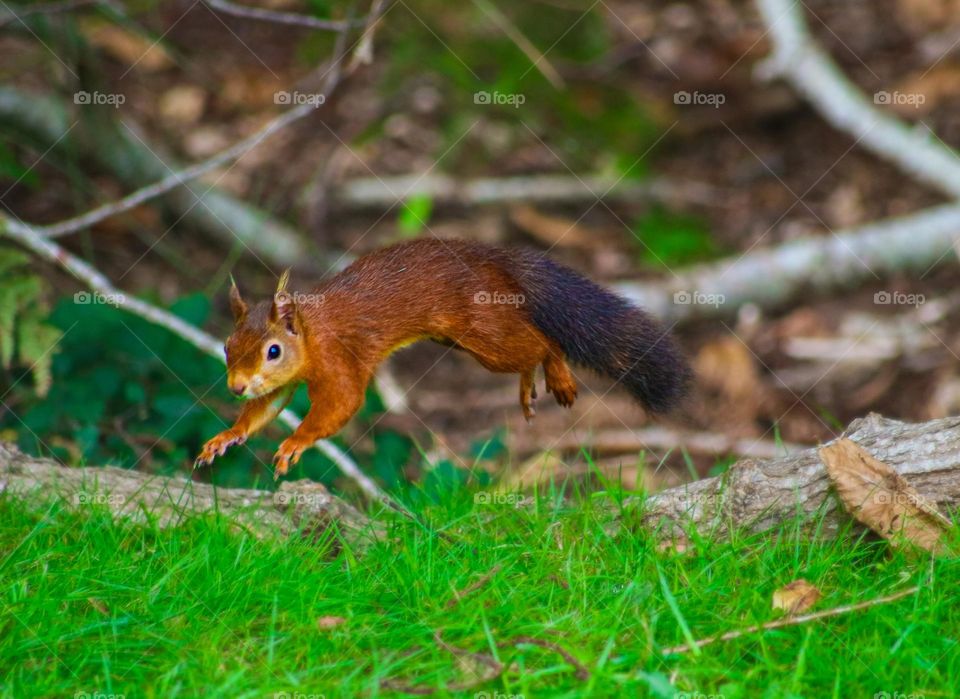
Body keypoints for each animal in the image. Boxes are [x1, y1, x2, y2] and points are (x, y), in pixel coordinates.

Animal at [195, 238, 690, 476]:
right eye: (226, 346)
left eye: (274, 350)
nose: (235, 386)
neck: (312, 334)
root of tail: (499, 262)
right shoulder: (284, 383)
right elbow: (267, 407)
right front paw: (226, 436)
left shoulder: (338, 360)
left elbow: (343, 403)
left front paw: (296, 442)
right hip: (468, 341)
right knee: (527, 348)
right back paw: (529, 386)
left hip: (485, 332)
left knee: (542, 342)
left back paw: (558, 375)